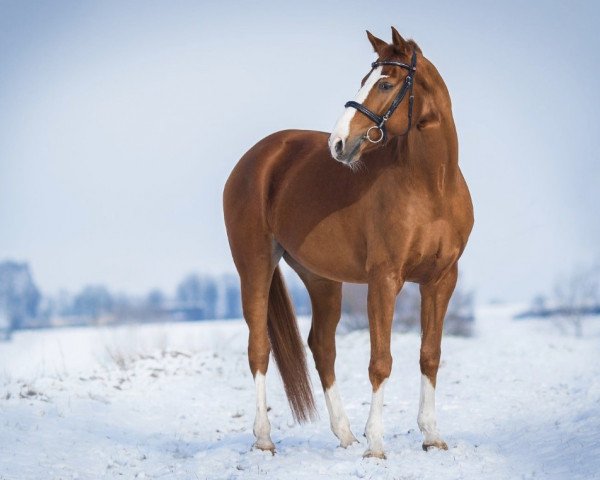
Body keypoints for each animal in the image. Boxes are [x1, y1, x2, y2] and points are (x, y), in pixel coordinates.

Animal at [223, 25, 476, 458]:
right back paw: (264, 439)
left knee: (322, 347)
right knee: (258, 348)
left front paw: (431, 436)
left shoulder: (441, 279)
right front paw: (375, 445)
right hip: (254, 266)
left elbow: (430, 355)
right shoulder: (384, 279)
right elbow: (381, 361)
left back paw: (344, 435)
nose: (339, 144)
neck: (431, 187)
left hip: (322, 279)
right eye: (364, 79)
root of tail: (258, 157)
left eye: (386, 83)